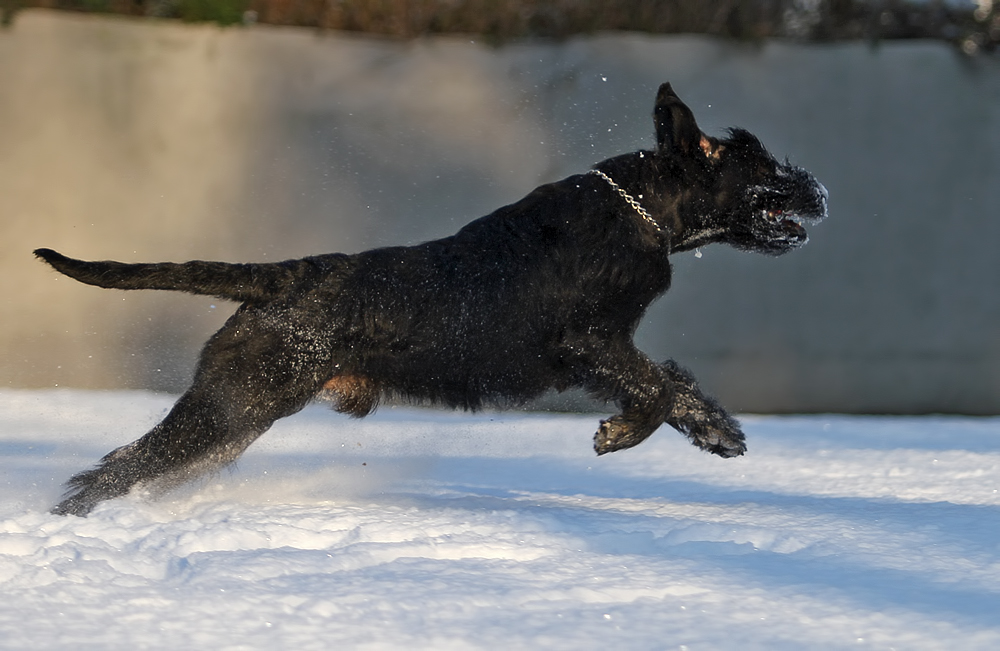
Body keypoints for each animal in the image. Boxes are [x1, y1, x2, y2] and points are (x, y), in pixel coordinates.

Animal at [37, 84, 828, 516]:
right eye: (762, 164)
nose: (818, 190)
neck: (643, 210)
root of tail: (282, 276)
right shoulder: (592, 343)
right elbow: (657, 388)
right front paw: (619, 434)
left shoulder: (613, 348)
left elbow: (676, 385)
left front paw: (719, 431)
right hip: (234, 406)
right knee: (117, 466)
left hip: (234, 418)